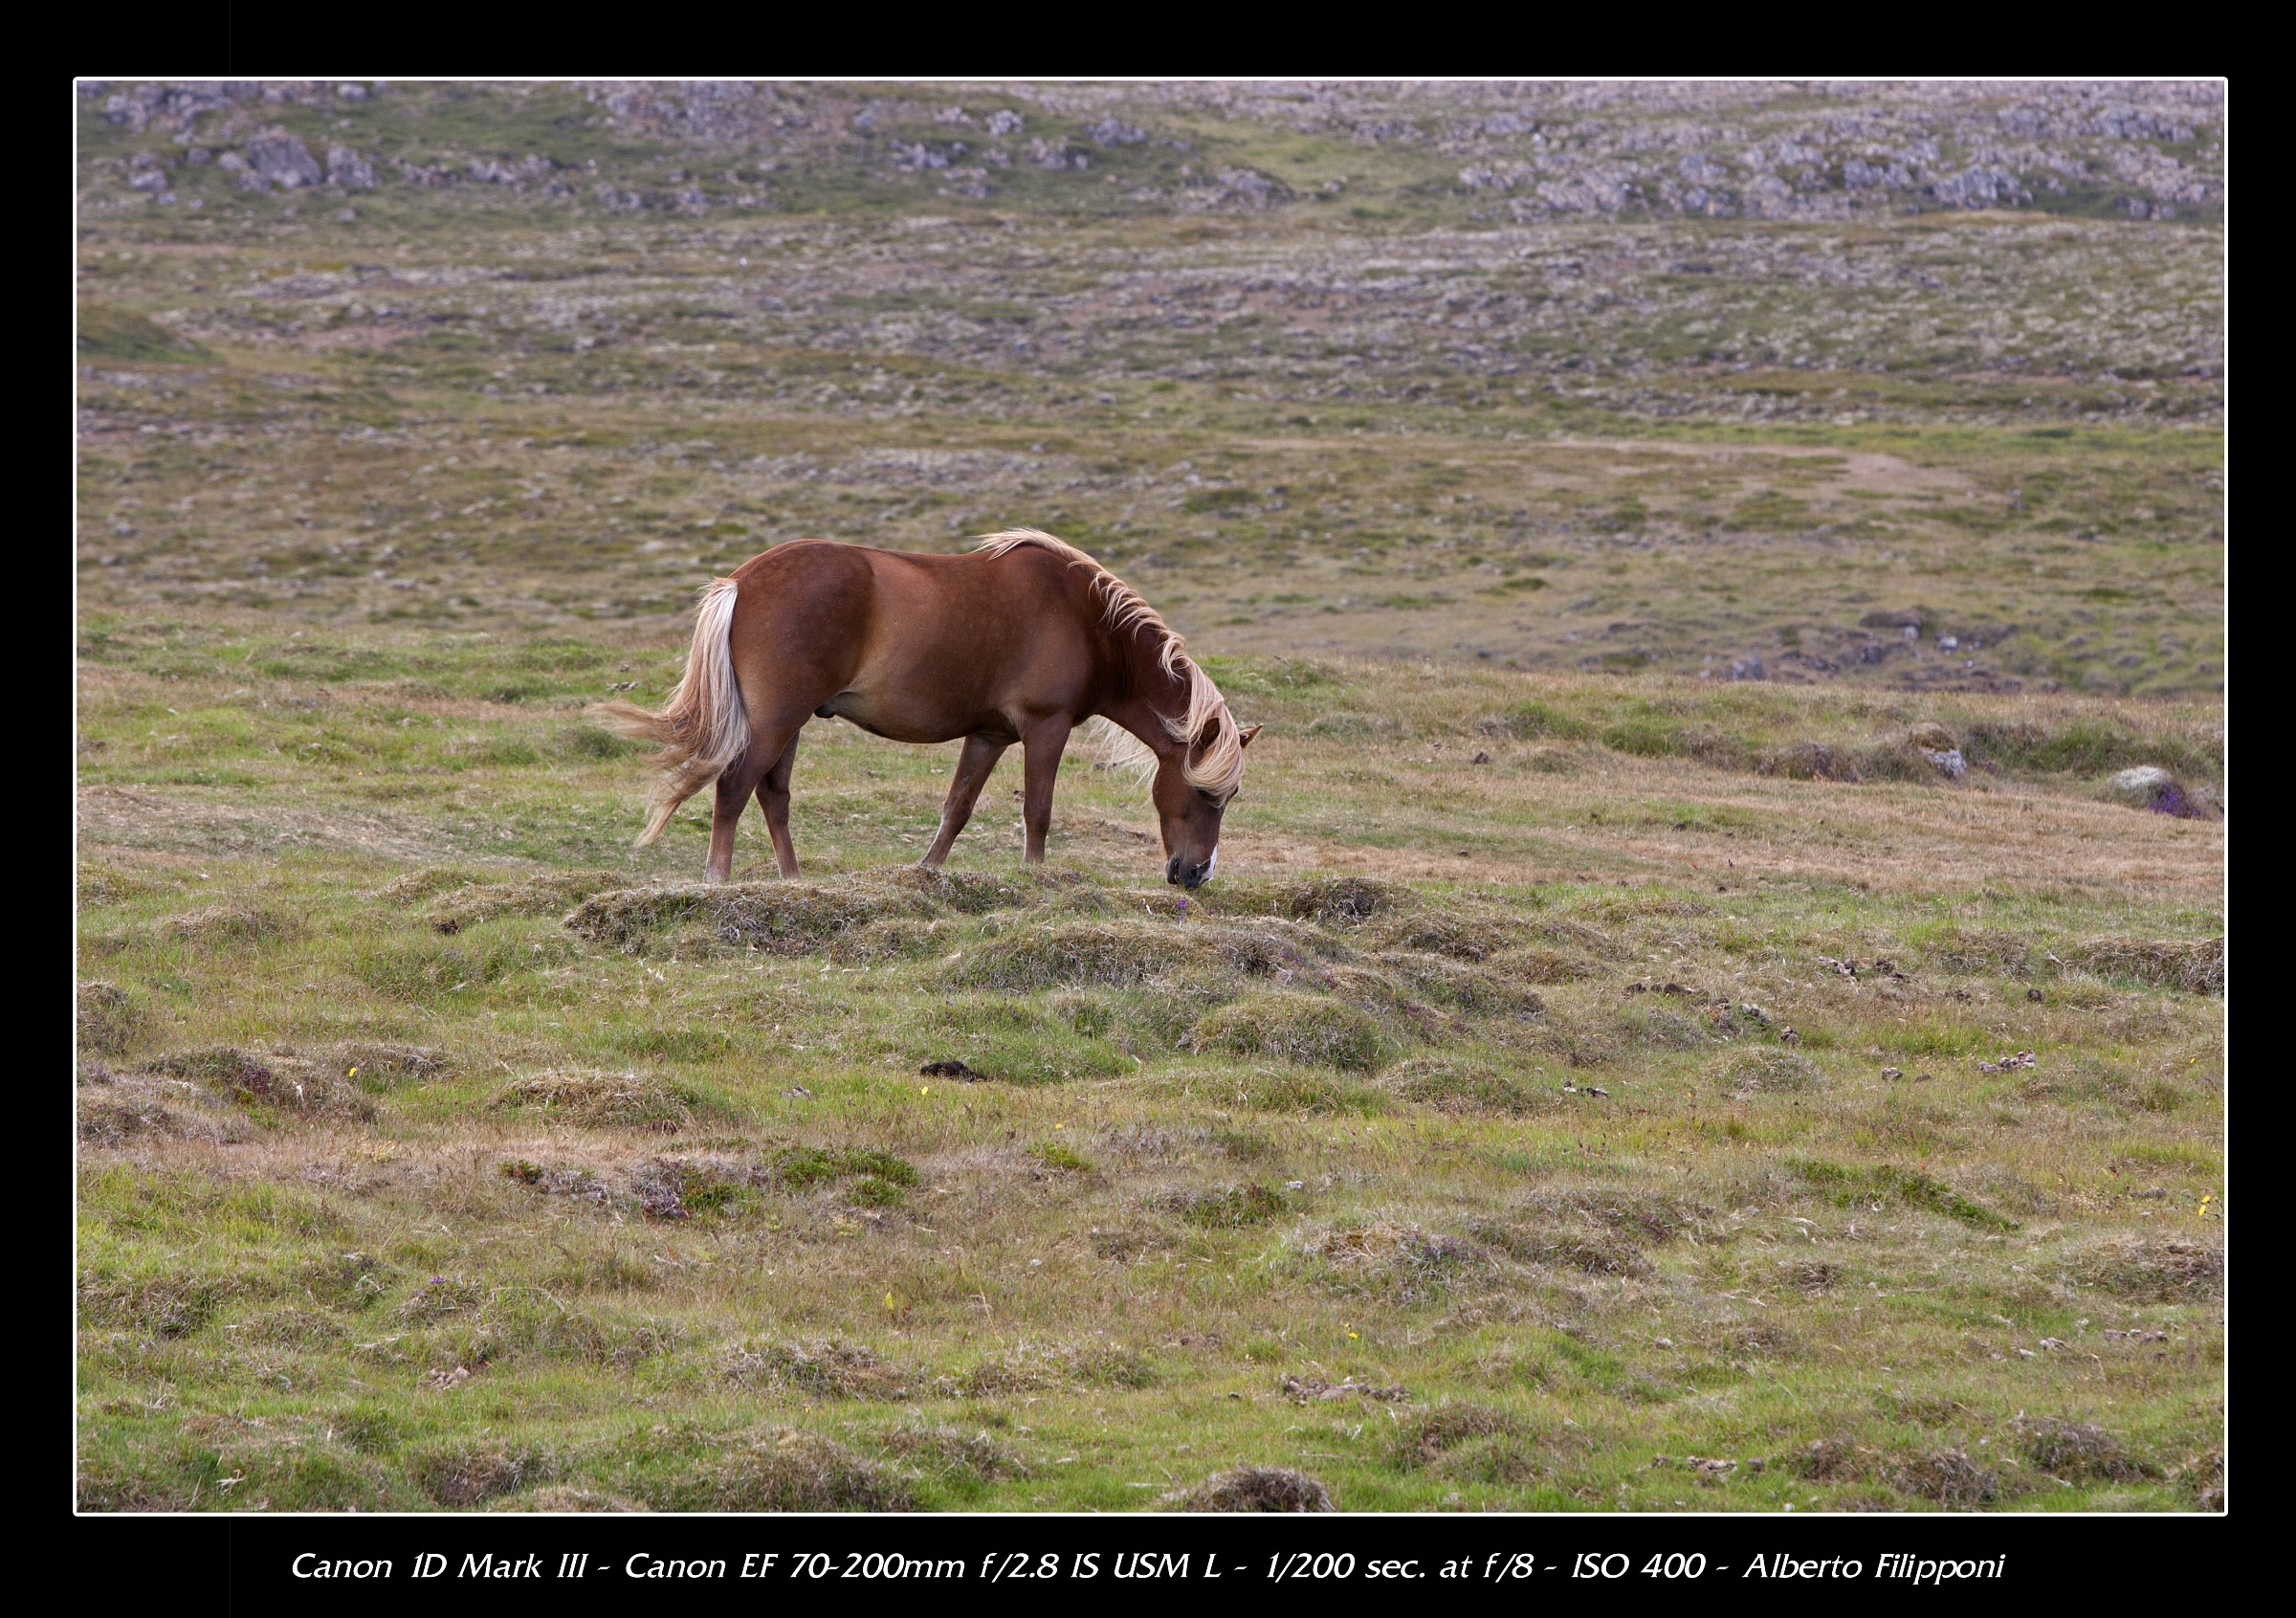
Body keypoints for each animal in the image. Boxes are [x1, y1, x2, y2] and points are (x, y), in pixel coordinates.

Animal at [592, 529, 1260, 887]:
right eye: (1205, 794)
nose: (1196, 874)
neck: (1086, 620)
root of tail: (742, 581)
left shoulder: (990, 735)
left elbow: (957, 809)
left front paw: (927, 873)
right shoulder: (1045, 729)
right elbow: (1038, 811)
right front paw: (1035, 877)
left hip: (788, 724)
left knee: (772, 794)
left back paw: (793, 880)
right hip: (777, 720)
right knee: (735, 788)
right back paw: (719, 880)